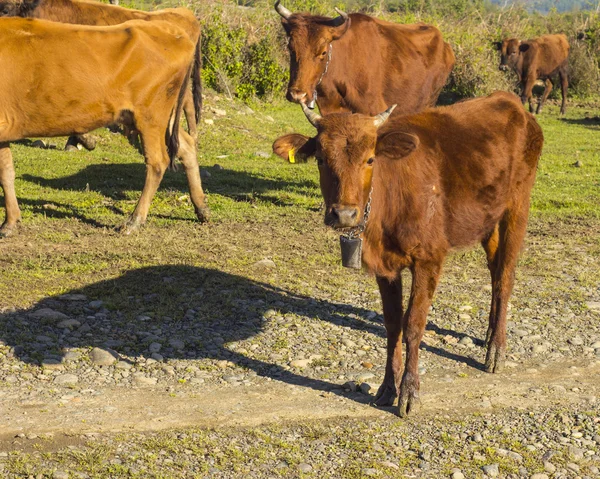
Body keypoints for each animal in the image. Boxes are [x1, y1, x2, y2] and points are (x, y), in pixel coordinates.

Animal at [0, 17, 209, 238]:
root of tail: (174, 32)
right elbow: (7, 173)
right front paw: (10, 222)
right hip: (163, 116)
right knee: (187, 146)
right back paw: (201, 208)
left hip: (151, 115)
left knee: (157, 162)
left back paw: (134, 220)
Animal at [274, 93, 544, 416]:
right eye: (320, 159)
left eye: (370, 159)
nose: (344, 214)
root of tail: (509, 100)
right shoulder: (384, 266)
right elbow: (392, 325)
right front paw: (387, 388)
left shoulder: (429, 258)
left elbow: (413, 324)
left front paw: (409, 392)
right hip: (487, 218)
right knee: (494, 269)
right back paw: (489, 335)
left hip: (518, 205)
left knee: (505, 275)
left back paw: (496, 350)